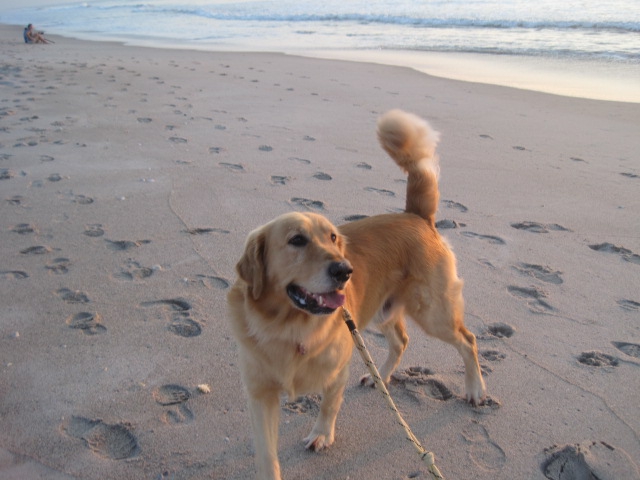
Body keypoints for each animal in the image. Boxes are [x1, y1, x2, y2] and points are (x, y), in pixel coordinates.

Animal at [229, 109, 484, 480]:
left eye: (334, 237)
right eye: (297, 240)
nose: (344, 271)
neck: (290, 327)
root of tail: (416, 215)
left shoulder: (337, 372)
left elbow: (328, 406)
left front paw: (321, 434)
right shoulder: (259, 394)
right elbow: (266, 454)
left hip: (434, 313)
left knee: (468, 339)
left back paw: (476, 389)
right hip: (382, 308)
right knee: (401, 341)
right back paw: (383, 378)